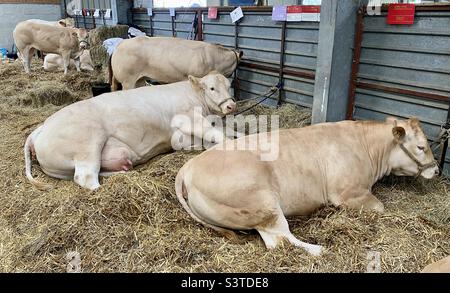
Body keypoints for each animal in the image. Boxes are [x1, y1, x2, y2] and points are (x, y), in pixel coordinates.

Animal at [24, 72, 237, 190]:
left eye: (229, 86)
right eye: (212, 88)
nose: (231, 106)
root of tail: (41, 128)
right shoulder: (189, 120)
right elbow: (214, 134)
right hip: (87, 144)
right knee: (85, 177)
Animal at [176, 117, 440, 254]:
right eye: (420, 147)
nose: (437, 170)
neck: (367, 148)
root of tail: (188, 167)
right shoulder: (349, 193)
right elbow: (380, 208)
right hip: (263, 203)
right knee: (280, 240)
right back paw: (319, 249)